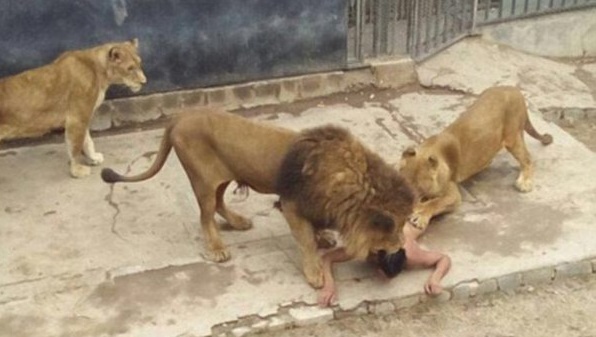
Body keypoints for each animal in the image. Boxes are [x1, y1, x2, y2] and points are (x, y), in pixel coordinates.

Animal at [0, 39, 147, 177]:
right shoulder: (77, 117)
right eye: (130, 68)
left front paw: (93, 158)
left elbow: (87, 141)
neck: (100, 71)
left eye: (140, 64)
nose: (144, 82)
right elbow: (76, 146)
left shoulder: (83, 115)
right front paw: (78, 170)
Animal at [103, 109, 298, 262]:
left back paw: (238, 222)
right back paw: (217, 249)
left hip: (220, 177)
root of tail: (183, 115)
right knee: (205, 216)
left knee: (217, 204)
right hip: (202, 179)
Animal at [278, 124, 414, 288]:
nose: (403, 243)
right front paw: (315, 273)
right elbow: (307, 240)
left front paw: (324, 237)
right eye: (398, 227)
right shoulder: (292, 204)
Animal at [398, 85, 552, 230]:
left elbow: (435, 202)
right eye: (404, 183)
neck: (428, 150)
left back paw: (524, 182)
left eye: (419, 187)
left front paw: (420, 215)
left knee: (527, 158)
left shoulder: (453, 194)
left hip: (512, 137)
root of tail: (515, 89)